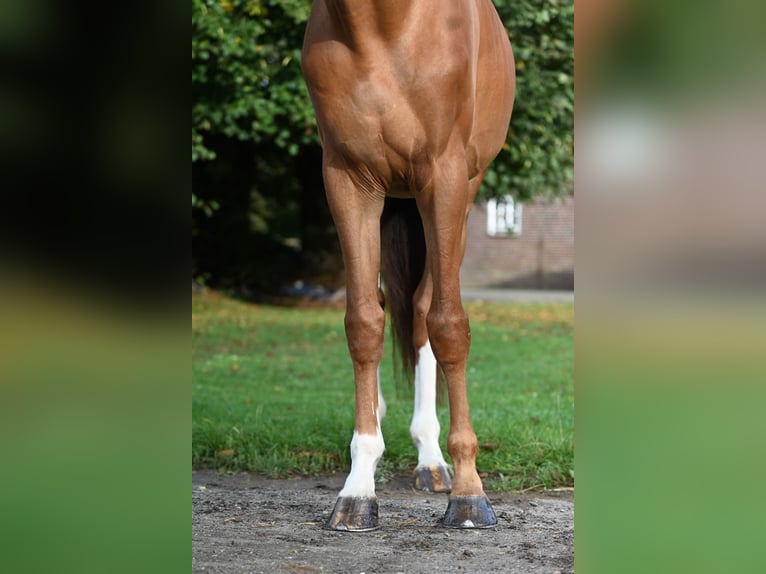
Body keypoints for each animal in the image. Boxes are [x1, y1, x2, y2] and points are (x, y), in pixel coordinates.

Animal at [300, 0, 516, 532]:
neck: (382, 27)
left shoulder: (445, 176)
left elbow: (449, 326)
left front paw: (469, 494)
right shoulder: (349, 179)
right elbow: (362, 324)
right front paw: (357, 490)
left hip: (459, 193)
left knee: (422, 311)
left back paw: (432, 461)